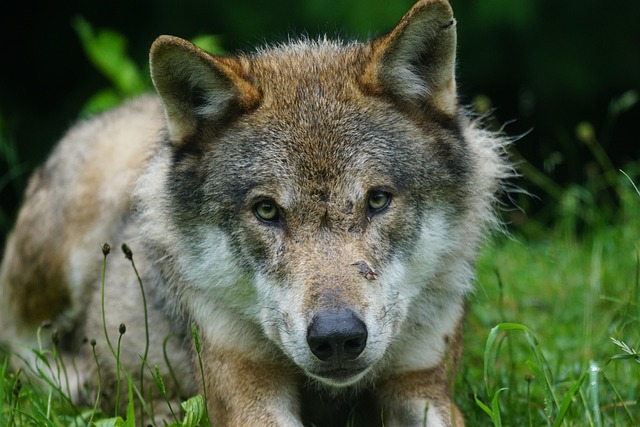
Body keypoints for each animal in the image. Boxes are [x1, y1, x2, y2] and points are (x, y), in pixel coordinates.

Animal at [0, 0, 509, 425]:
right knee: (25, 352)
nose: (337, 337)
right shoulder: (243, 383)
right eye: (266, 210)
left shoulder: (424, 384)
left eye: (377, 200)